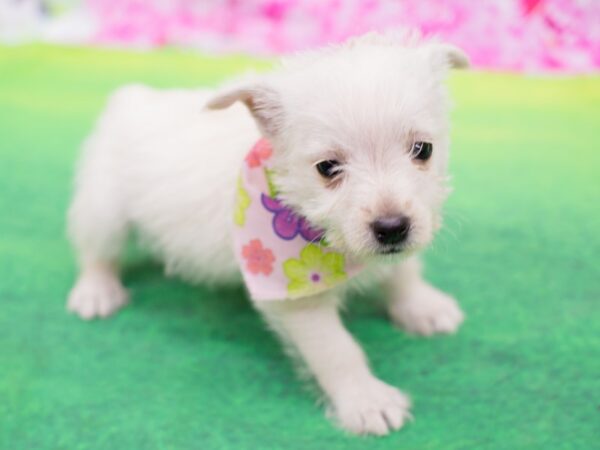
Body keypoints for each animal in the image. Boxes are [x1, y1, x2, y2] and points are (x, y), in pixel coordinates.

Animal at [67, 31, 468, 436]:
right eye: (327, 167)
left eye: (423, 150)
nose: (392, 228)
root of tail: (132, 97)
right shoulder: (295, 297)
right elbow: (337, 350)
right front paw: (366, 400)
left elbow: (403, 270)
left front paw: (423, 306)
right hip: (103, 209)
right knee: (96, 252)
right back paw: (96, 292)